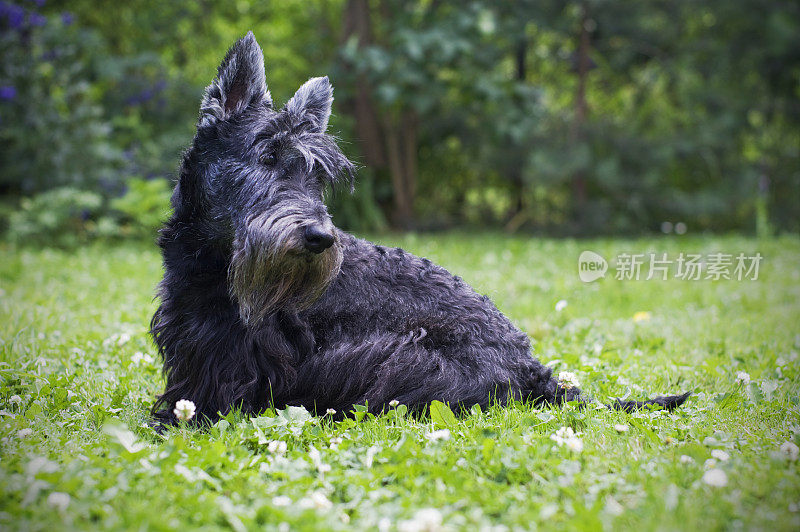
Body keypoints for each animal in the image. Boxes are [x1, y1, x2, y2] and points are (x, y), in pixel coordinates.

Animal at [150, 32, 688, 424]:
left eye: (316, 177)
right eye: (266, 156)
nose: (320, 238)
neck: (212, 259)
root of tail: (535, 374)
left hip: (403, 361)